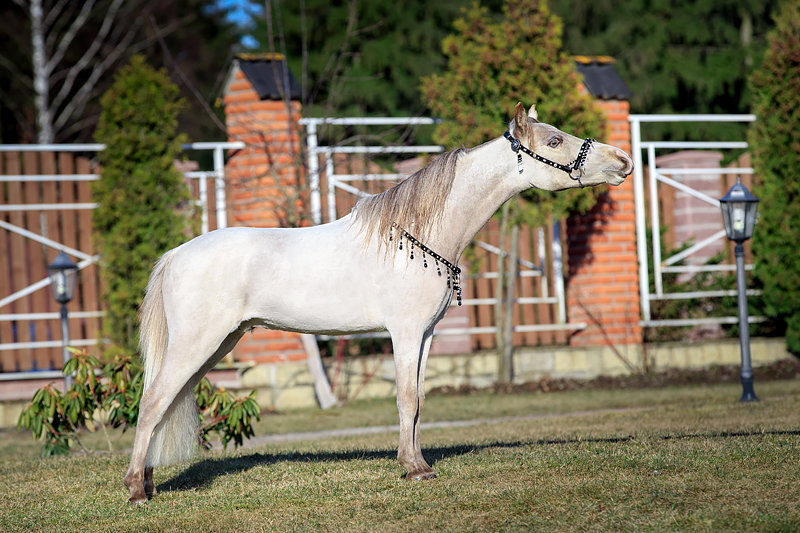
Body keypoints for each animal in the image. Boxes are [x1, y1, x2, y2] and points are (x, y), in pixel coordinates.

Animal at [123, 103, 632, 502]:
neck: (418, 235)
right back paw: (135, 491)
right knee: (152, 403)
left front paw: (418, 463)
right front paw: (414, 469)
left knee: (163, 404)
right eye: (555, 140)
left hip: (221, 344)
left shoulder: (425, 335)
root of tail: (175, 254)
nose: (623, 160)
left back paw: (147, 482)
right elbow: (406, 396)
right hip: (197, 344)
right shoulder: (403, 333)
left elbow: (419, 400)